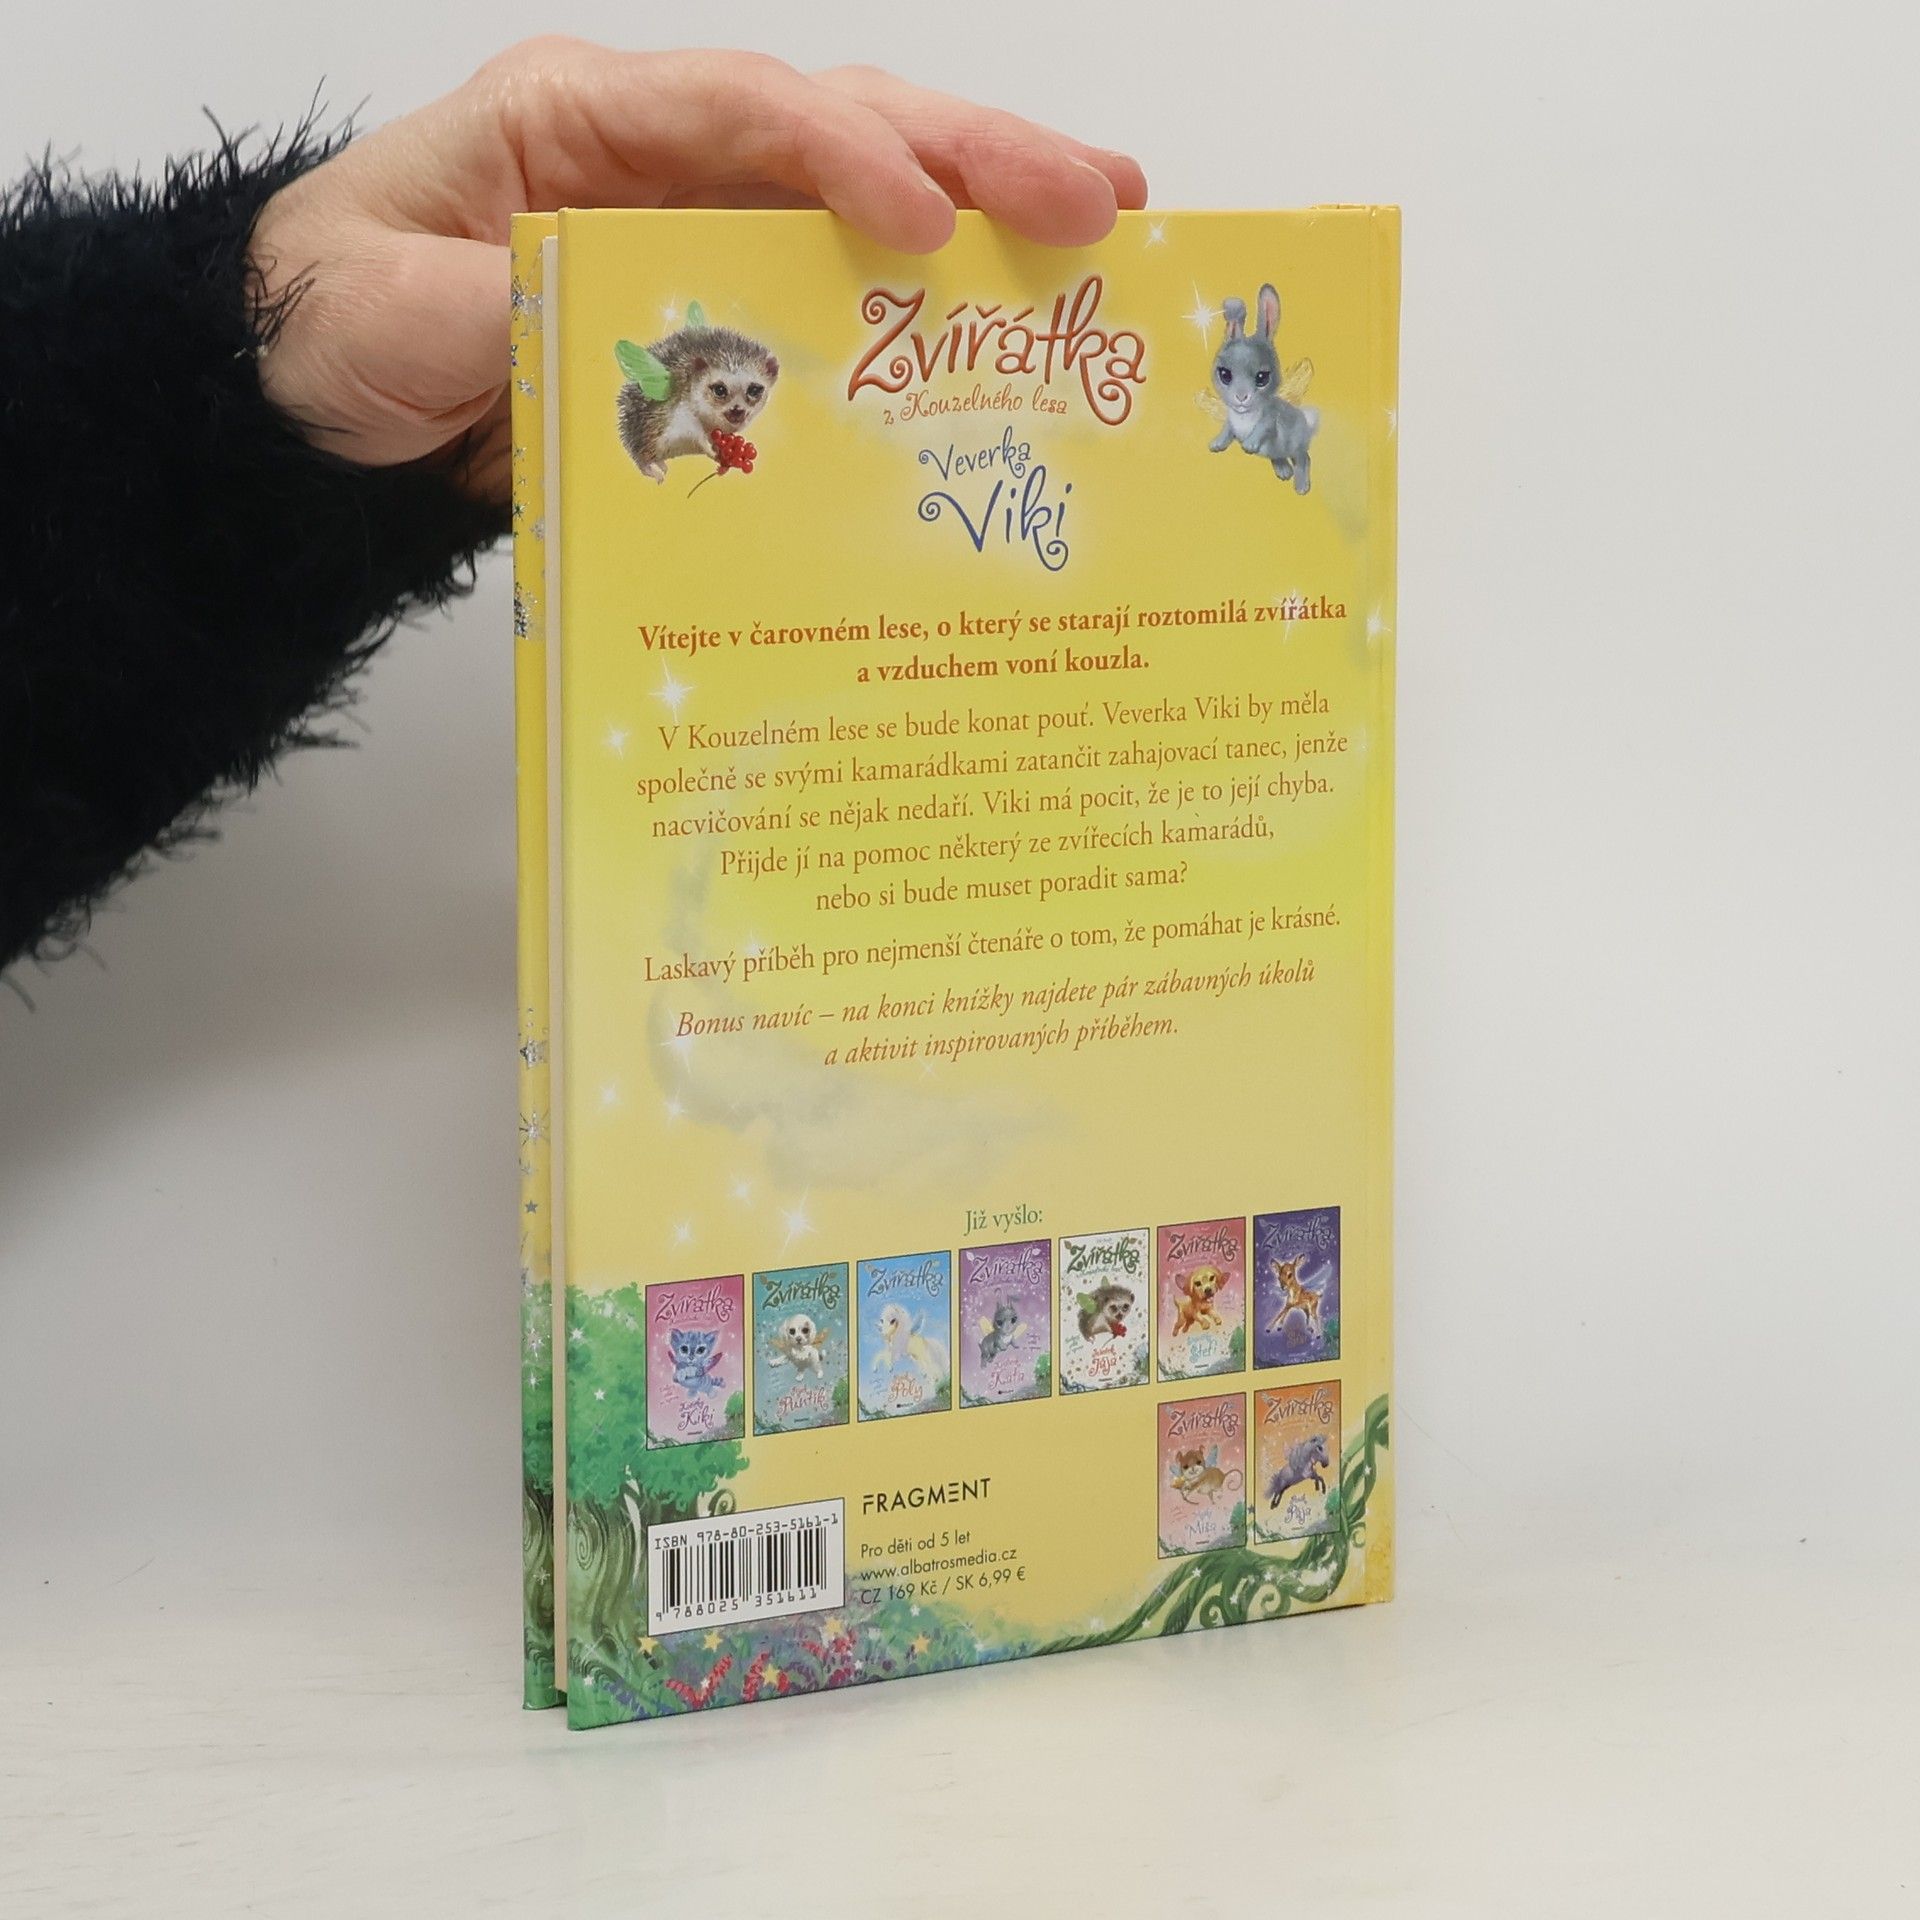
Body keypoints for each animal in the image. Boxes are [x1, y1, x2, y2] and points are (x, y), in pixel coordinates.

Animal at [1207, 284, 1317, 493]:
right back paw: (1283, 470)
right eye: (1225, 375)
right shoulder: (1231, 421)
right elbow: (1227, 428)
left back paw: (1301, 486)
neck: (1243, 416)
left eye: (1262, 378)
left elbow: (1262, 428)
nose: (1241, 397)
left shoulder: (1270, 420)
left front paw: (1249, 445)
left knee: (1304, 459)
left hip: (1296, 446)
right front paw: (1216, 444)